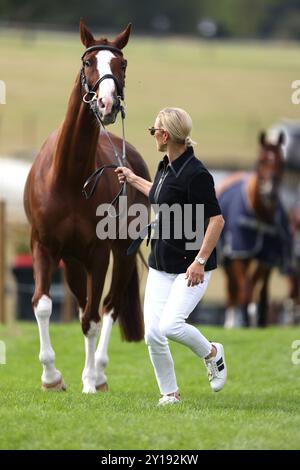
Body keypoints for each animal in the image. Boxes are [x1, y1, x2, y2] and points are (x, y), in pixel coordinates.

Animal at [23, 20, 150, 392]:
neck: (68, 177)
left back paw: (99, 372)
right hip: (74, 261)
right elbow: (42, 304)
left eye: (122, 64)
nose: (106, 105)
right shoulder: (43, 245)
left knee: (108, 307)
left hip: (120, 254)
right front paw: (51, 377)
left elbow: (94, 318)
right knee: (83, 306)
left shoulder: (99, 253)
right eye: (87, 63)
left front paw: (91, 381)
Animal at [218, 130, 290, 328]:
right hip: (228, 258)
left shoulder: (267, 256)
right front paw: (244, 317)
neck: (260, 215)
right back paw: (232, 321)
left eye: (281, 161)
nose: (270, 192)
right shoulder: (239, 251)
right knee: (233, 287)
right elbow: (246, 286)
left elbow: (259, 285)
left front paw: (258, 316)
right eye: (261, 160)